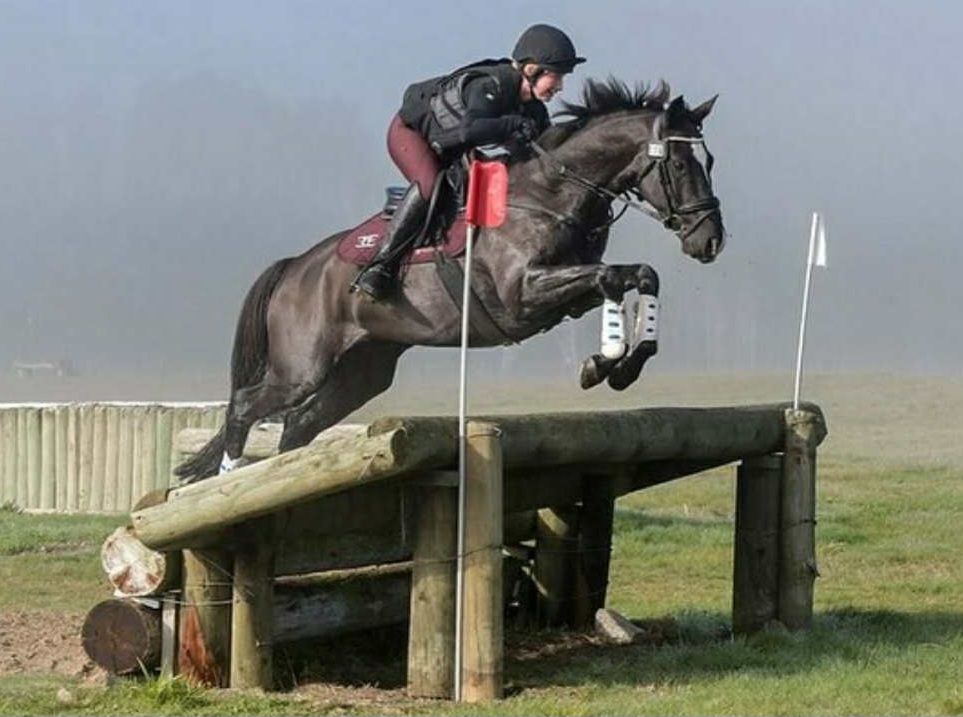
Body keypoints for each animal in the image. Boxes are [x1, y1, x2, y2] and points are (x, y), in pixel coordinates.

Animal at [176, 79, 726, 483]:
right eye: (681, 164)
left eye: (710, 161)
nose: (711, 240)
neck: (551, 192)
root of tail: (294, 267)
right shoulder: (522, 296)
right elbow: (612, 279)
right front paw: (603, 363)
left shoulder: (566, 297)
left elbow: (640, 275)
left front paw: (625, 364)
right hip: (302, 367)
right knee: (245, 407)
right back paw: (226, 482)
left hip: (362, 370)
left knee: (298, 427)